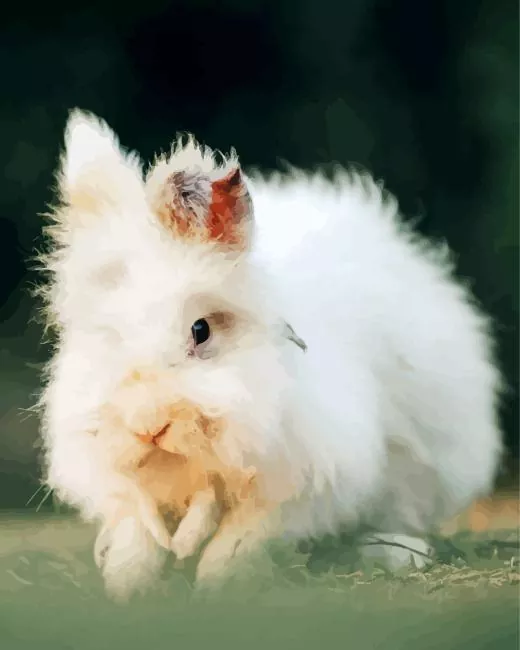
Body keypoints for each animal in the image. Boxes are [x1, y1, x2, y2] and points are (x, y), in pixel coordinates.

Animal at [36, 108, 504, 600]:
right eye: (109, 335)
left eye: (201, 331)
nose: (148, 427)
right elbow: (136, 531)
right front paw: (129, 585)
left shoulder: (305, 479)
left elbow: (245, 532)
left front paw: (215, 584)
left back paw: (397, 552)